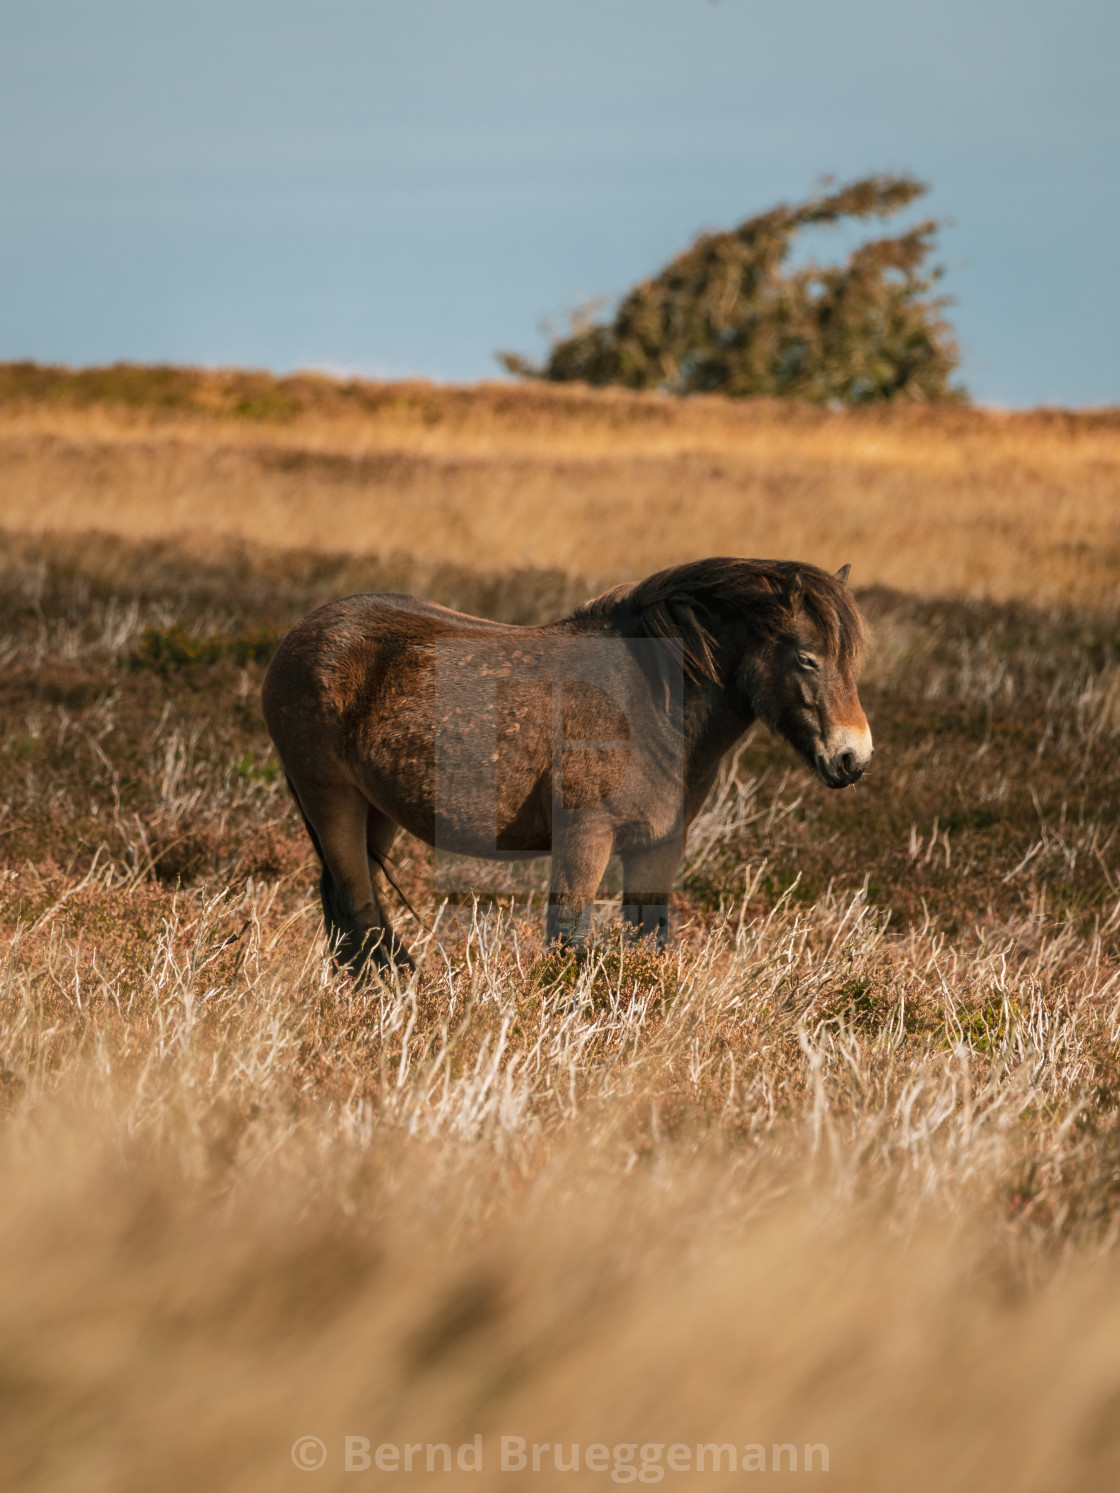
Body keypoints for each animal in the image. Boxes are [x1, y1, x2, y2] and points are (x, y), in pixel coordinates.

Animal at [265, 555, 878, 973]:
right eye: (806, 658)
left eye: (852, 661)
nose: (854, 759)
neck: (649, 702)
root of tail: (300, 636)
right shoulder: (586, 837)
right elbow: (567, 938)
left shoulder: (658, 846)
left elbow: (647, 941)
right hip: (332, 801)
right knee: (359, 910)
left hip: (378, 813)